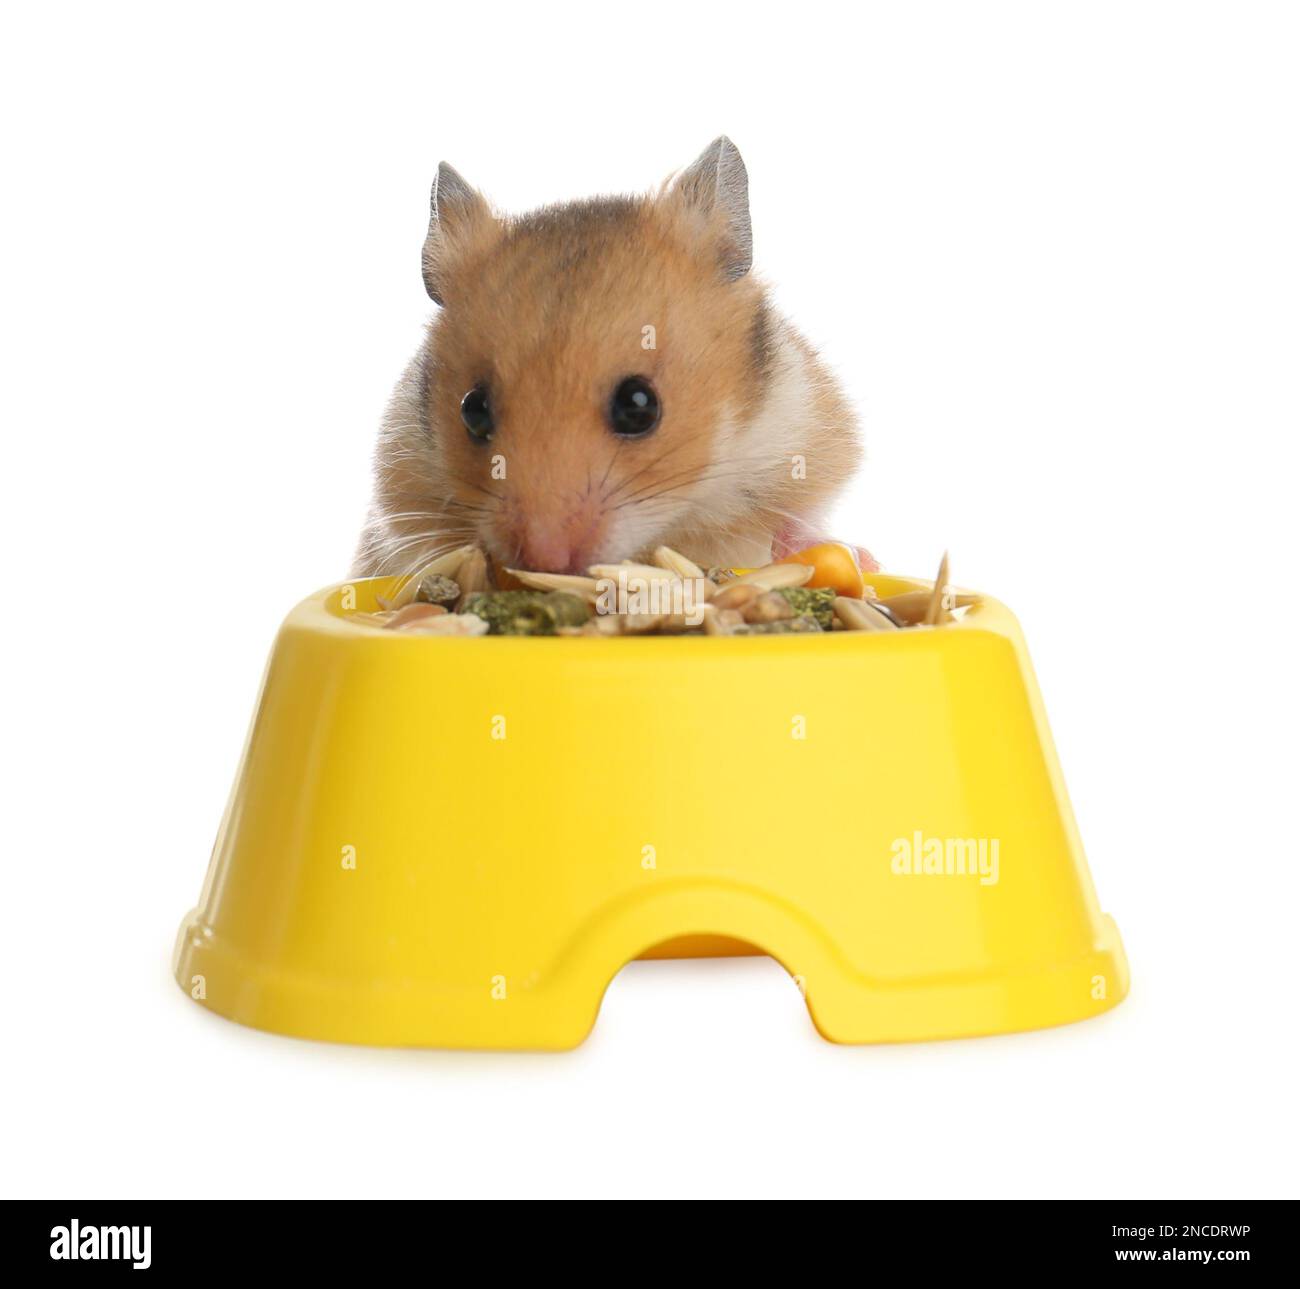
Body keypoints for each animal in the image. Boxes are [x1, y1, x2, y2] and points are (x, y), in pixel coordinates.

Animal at [354, 137, 868, 578]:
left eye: (639, 406)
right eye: (473, 411)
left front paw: (845, 555)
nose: (546, 560)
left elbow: (797, 518)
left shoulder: (805, 435)